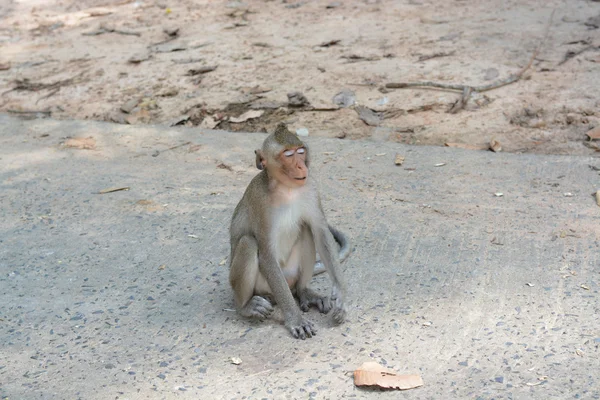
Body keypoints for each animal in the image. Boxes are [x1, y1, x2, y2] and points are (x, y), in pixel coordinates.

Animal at [230, 123, 352, 340]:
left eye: (301, 152)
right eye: (288, 155)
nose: (302, 167)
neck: (285, 188)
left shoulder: (310, 187)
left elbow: (321, 233)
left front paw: (341, 296)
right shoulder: (259, 201)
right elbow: (267, 254)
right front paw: (295, 319)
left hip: (291, 273)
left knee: (306, 229)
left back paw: (304, 292)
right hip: (260, 284)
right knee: (248, 242)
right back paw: (245, 306)